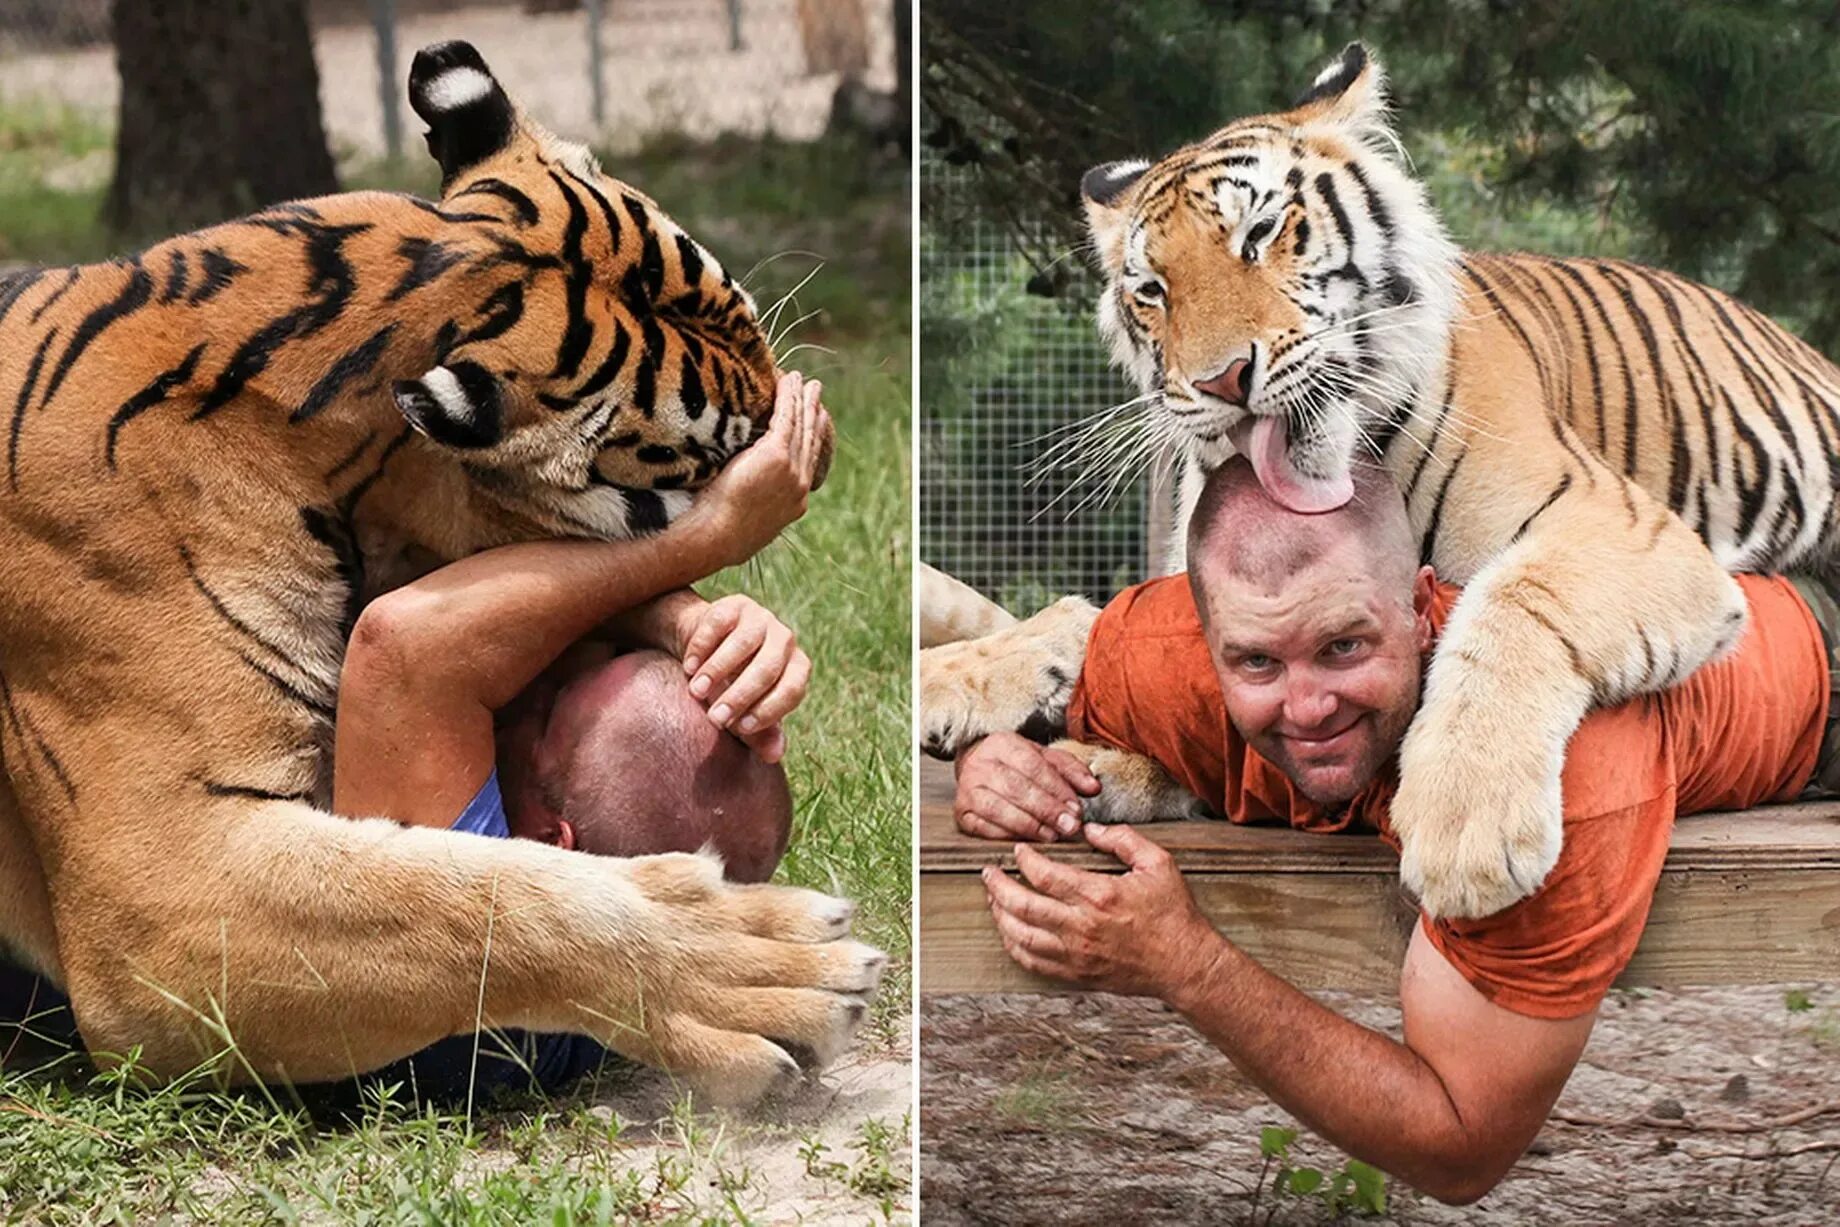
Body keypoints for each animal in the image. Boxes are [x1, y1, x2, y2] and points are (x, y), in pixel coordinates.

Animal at [0, 43, 883, 1111]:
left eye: (747, 321)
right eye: (714, 456)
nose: (816, 439)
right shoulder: (159, 889)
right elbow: (479, 902)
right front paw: (751, 958)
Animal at [912, 38, 1832, 919]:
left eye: (1260, 234)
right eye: (1151, 290)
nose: (1220, 380)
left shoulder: (1622, 526)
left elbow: (1513, 601)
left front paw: (1466, 822)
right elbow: (1082, 621)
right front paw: (978, 697)